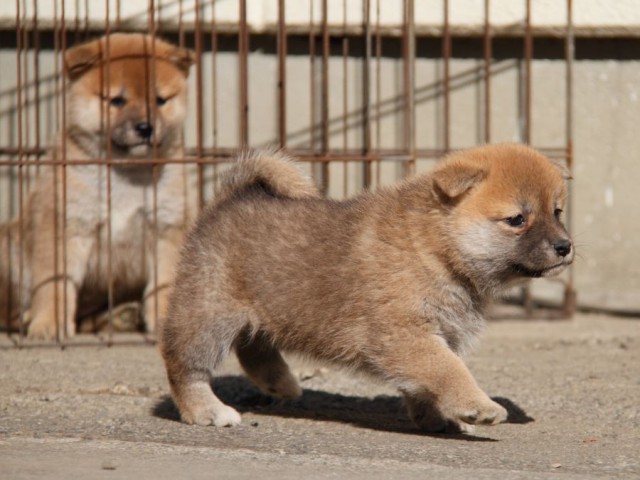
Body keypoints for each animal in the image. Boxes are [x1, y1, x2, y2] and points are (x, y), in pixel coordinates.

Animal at [0, 33, 195, 340]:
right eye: (116, 100)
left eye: (160, 100)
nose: (145, 128)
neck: (125, 175)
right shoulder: (64, 225)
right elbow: (54, 284)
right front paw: (49, 323)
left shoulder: (168, 227)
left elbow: (165, 284)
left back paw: (122, 317)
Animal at [160, 144, 576, 434]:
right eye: (517, 219)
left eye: (557, 211)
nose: (565, 246)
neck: (431, 248)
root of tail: (229, 198)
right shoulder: (406, 333)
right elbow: (447, 370)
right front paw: (477, 405)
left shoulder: (436, 333)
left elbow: (428, 380)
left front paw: (437, 417)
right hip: (209, 314)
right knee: (185, 365)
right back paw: (206, 410)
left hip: (265, 307)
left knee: (254, 346)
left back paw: (279, 383)